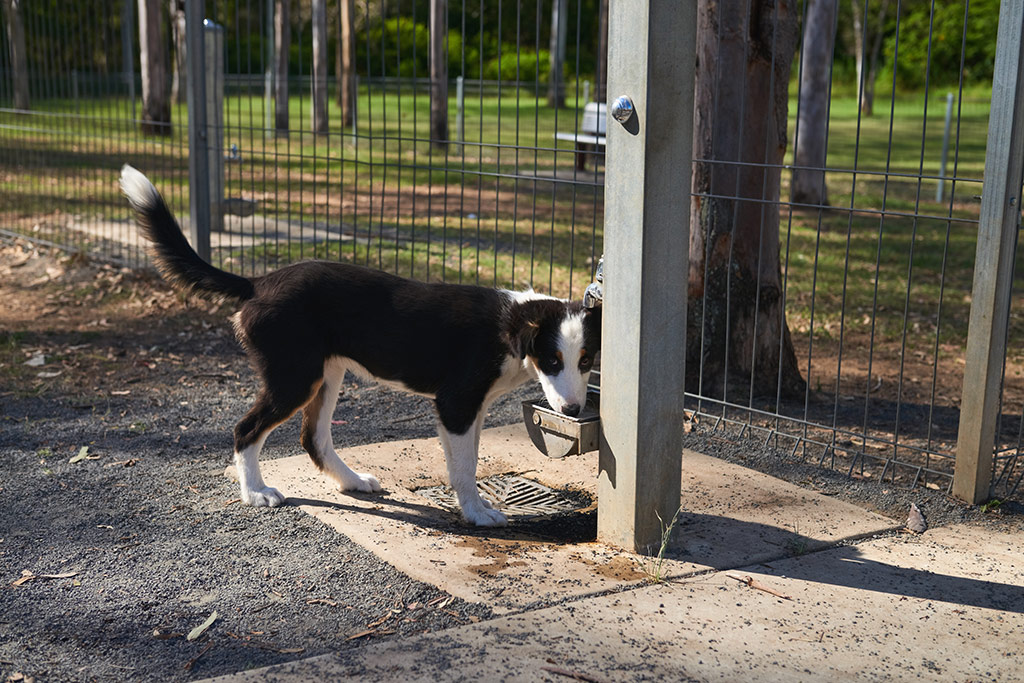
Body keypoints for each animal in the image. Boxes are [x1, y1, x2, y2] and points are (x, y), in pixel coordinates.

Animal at [119, 165, 598, 528]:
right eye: (551, 360)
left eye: (586, 361)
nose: (574, 411)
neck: (510, 325)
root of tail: (258, 283)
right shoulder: (456, 403)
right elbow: (464, 468)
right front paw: (478, 514)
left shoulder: (471, 410)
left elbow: (468, 461)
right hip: (294, 377)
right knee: (246, 429)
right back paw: (255, 492)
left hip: (326, 373)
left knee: (313, 437)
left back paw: (350, 481)